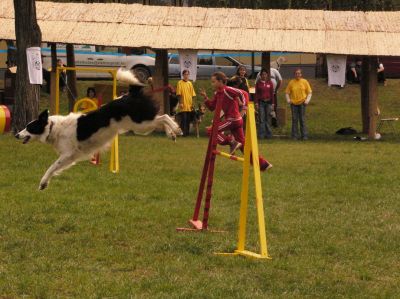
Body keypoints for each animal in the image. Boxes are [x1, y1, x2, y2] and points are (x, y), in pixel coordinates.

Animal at [15, 69, 183, 191]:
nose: (16, 135)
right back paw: (171, 134)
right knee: (162, 118)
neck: (52, 127)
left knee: (165, 117)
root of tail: (130, 93)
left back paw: (177, 130)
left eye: (29, 127)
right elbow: (56, 168)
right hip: (142, 125)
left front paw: (43, 182)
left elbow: (51, 167)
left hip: (140, 123)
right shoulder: (71, 157)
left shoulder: (67, 154)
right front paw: (44, 183)